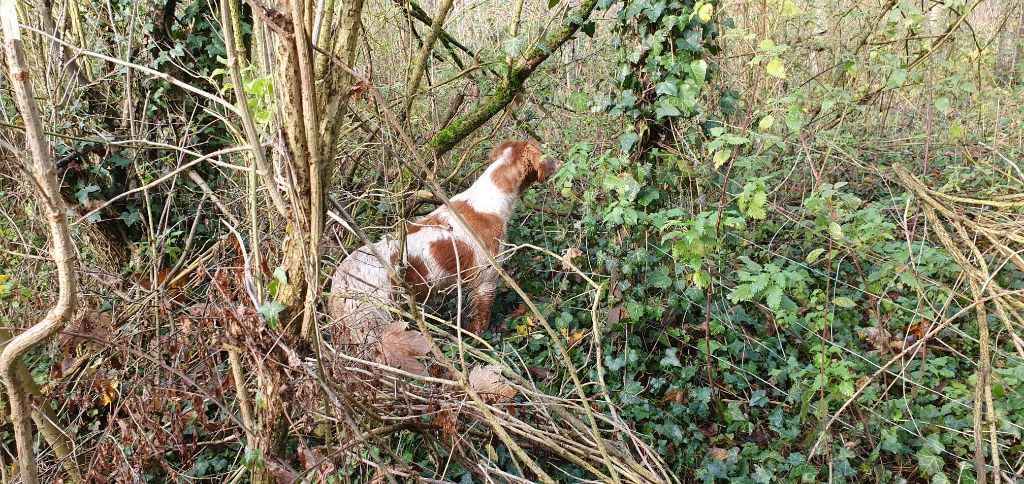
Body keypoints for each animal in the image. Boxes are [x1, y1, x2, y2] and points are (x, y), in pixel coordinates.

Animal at [329, 139, 557, 349]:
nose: (557, 161)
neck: (489, 200)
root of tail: (340, 280)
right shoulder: (486, 281)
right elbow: (481, 321)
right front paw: (482, 342)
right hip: (373, 325)